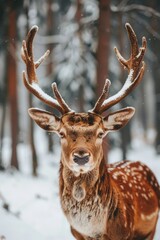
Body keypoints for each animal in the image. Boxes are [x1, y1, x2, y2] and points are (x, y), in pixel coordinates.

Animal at [21, 23, 160, 240]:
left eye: (101, 133)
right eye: (61, 133)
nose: (81, 156)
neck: (95, 231)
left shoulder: (125, 232)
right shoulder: (76, 233)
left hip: (150, 229)